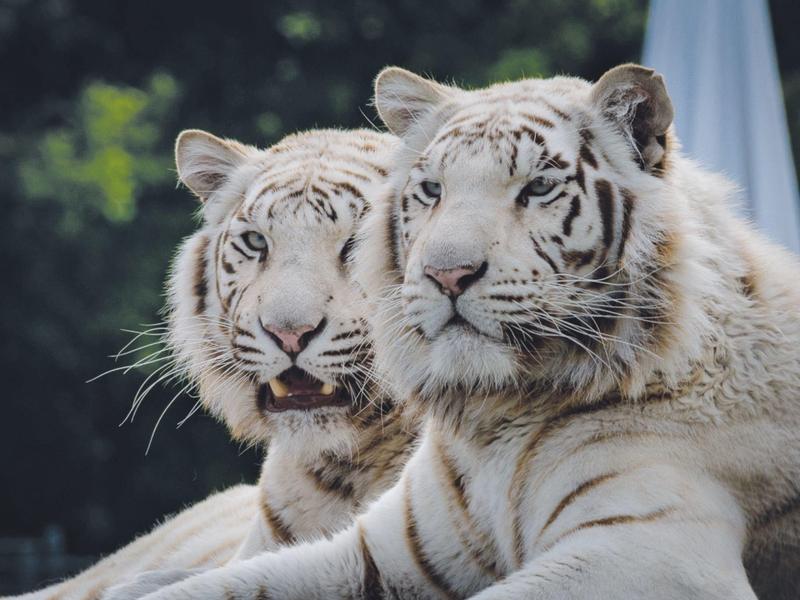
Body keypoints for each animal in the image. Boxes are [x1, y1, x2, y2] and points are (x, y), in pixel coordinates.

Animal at [126, 63, 800, 600]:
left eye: (538, 187)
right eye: (432, 190)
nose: (446, 273)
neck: (499, 418)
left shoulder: (649, 554)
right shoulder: (378, 551)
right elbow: (213, 585)